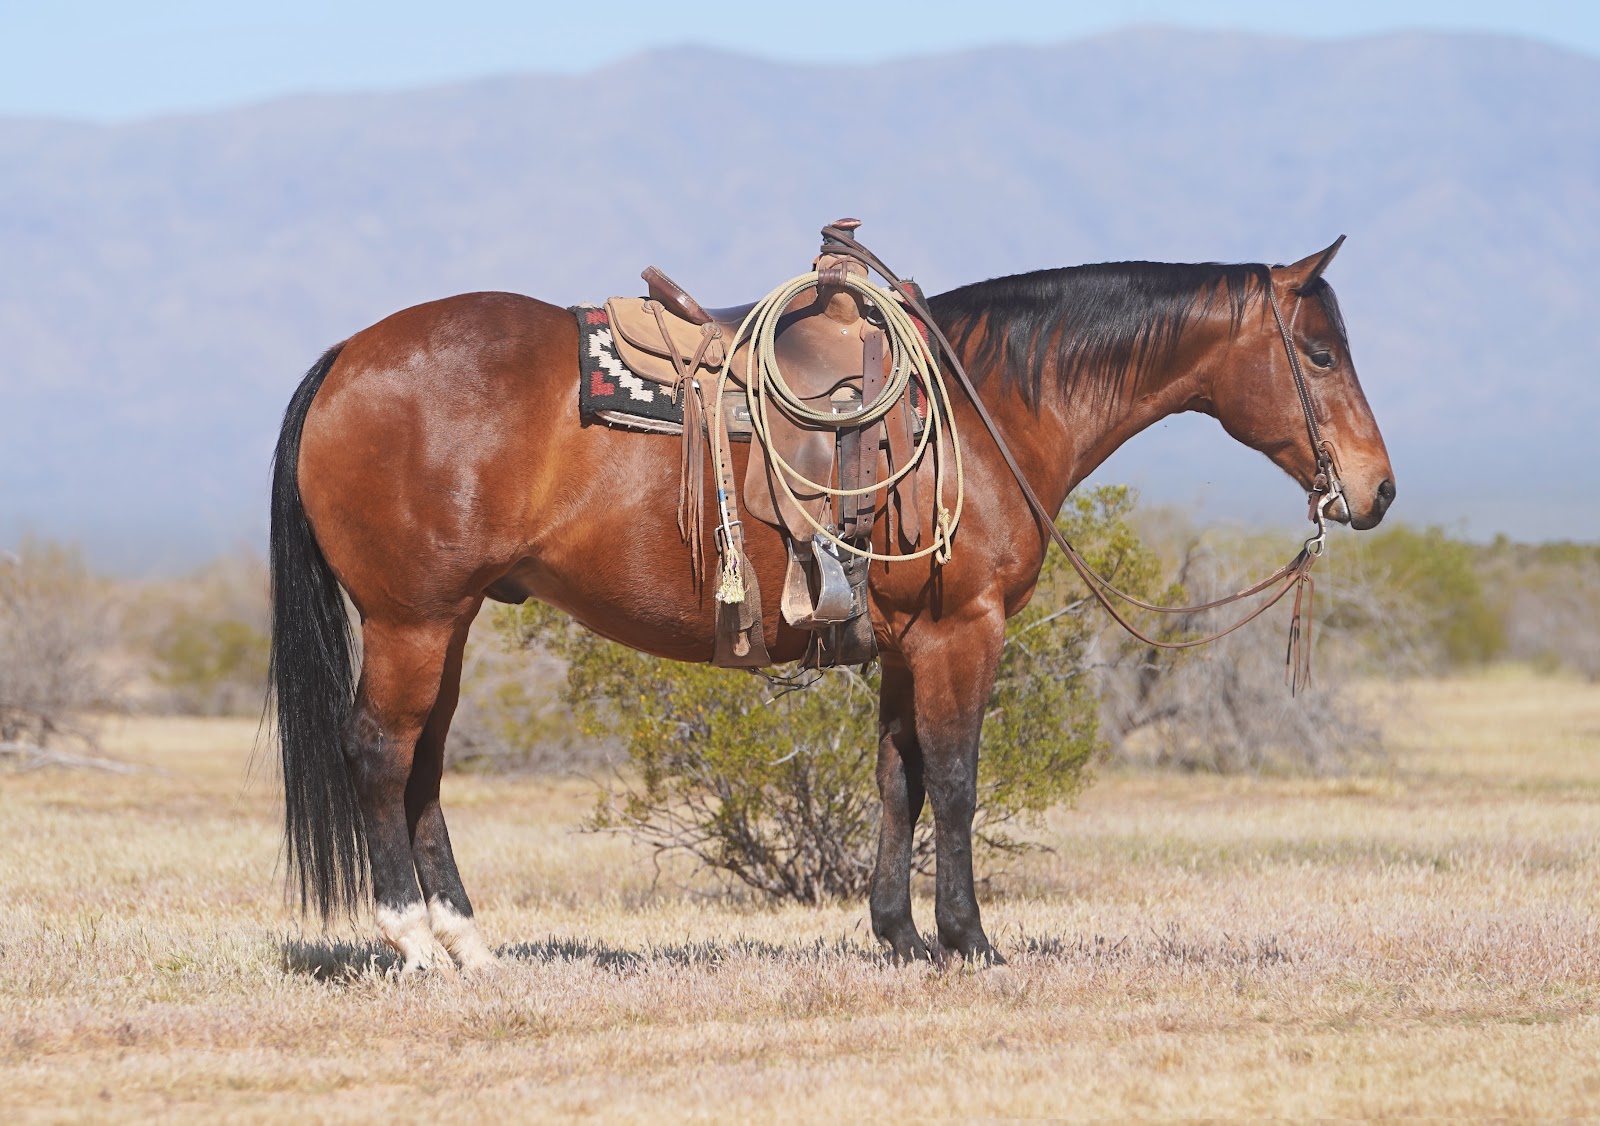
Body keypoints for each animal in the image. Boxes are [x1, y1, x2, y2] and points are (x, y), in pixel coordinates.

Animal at [268, 236, 1394, 970]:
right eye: (1321, 353)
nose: (1376, 491)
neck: (981, 405)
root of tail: (348, 356)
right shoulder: (963, 630)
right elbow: (956, 782)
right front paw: (970, 941)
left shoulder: (905, 643)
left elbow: (898, 781)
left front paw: (898, 935)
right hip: (413, 620)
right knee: (381, 754)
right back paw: (410, 939)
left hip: (449, 622)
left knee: (423, 766)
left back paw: (465, 939)